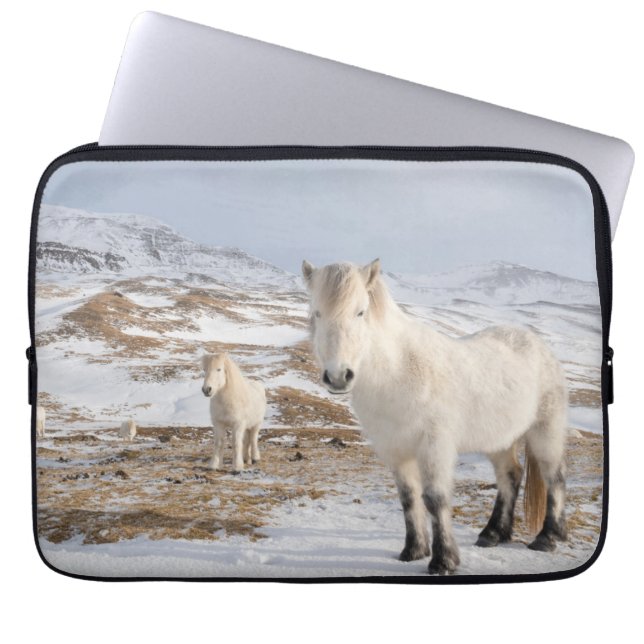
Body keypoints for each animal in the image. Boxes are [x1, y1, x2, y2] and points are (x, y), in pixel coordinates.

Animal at [302, 258, 568, 575]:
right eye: (317, 312)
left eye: (360, 311)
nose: (338, 376)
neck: (399, 372)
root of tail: (537, 344)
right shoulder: (396, 450)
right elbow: (408, 498)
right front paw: (413, 550)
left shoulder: (434, 446)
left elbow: (435, 498)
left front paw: (443, 560)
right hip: (500, 440)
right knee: (510, 476)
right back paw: (492, 534)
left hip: (546, 431)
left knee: (554, 478)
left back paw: (547, 537)